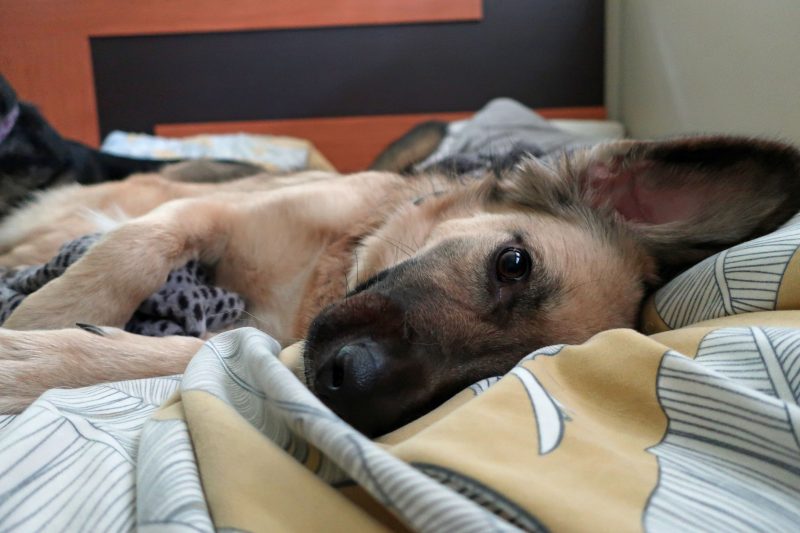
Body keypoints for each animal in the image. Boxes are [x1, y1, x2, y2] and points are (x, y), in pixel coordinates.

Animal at [1, 134, 800, 436]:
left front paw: (41, 358)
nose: (346, 384)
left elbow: (205, 347)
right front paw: (44, 318)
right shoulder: (207, 216)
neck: (327, 268)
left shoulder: (286, 338)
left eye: (489, 380)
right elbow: (133, 251)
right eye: (514, 264)